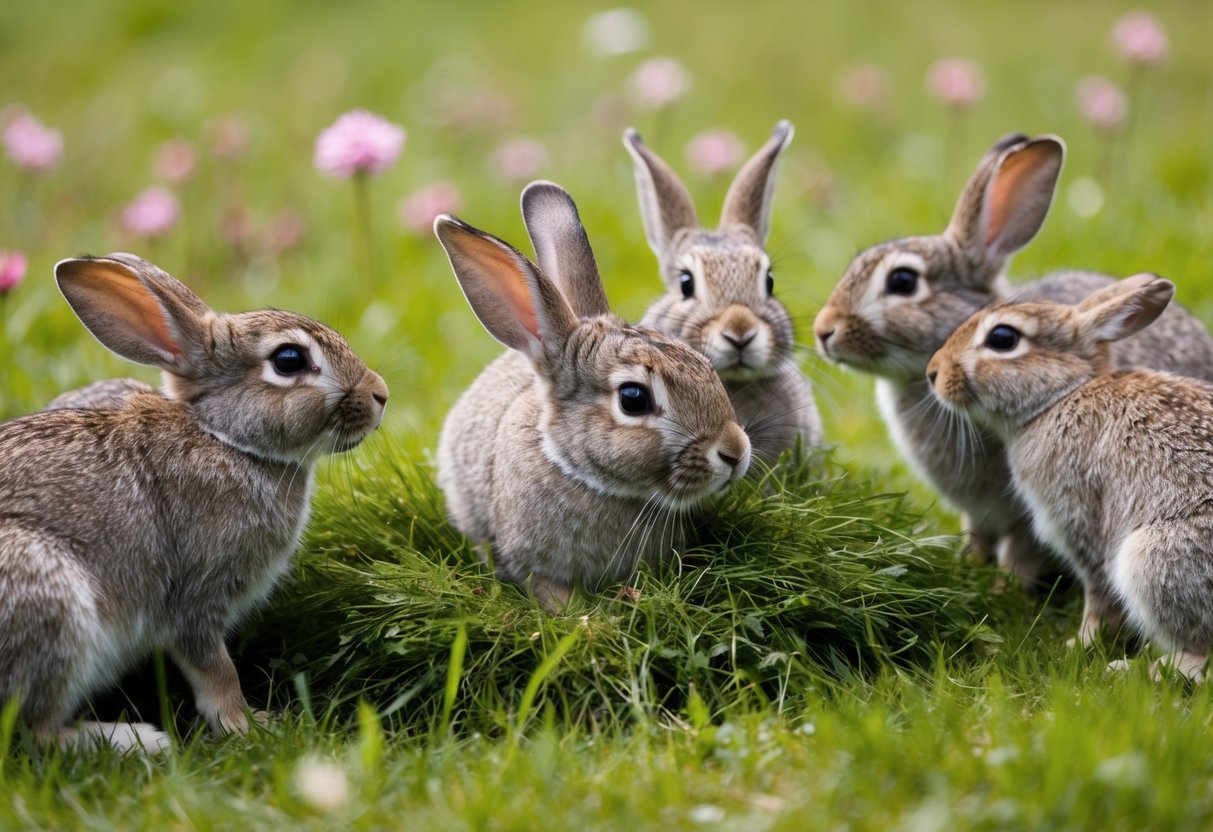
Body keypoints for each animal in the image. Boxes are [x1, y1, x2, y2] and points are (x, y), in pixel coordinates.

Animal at [0, 253, 388, 753]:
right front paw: (249, 724)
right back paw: (136, 740)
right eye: (289, 359)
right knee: (36, 731)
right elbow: (215, 669)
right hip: (48, 599)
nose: (380, 394)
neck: (225, 438)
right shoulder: (195, 593)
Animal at [434, 181, 751, 609]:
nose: (735, 452)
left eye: (705, 364)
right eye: (633, 398)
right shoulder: (533, 564)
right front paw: (584, 617)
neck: (581, 474)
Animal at [813, 133, 1213, 589]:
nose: (823, 330)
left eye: (903, 281)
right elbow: (978, 535)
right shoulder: (978, 512)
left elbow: (1023, 549)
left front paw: (1006, 586)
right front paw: (968, 565)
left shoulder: (1034, 514)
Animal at [927, 275, 1213, 680]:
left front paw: (1080, 644)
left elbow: (1099, 594)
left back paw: (1133, 668)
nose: (932, 373)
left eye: (1003, 338)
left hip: (1154, 559)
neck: (1060, 397)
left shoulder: (1082, 522)